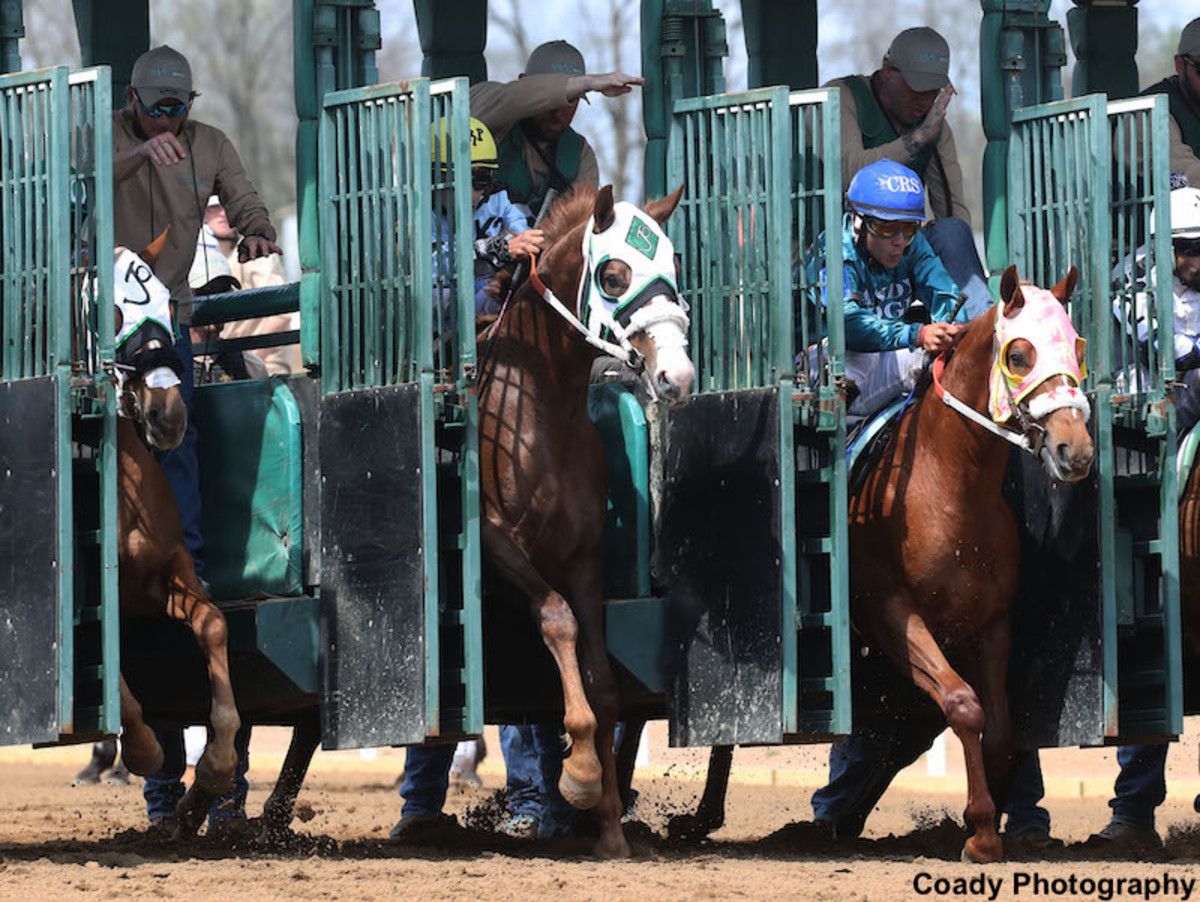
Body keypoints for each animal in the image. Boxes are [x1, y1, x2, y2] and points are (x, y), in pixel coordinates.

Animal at [663, 266, 1094, 862]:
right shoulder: (891, 613)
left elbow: (1001, 729)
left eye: (1077, 347)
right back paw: (701, 817)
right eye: (1019, 355)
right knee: (726, 719)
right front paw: (982, 832)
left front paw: (985, 822)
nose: (1075, 450)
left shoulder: (990, 622)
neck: (949, 488)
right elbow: (963, 704)